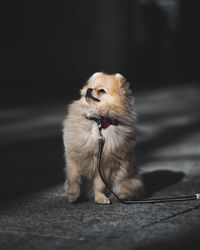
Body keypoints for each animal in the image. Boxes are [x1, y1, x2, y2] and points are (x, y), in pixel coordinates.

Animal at [63, 72, 143, 203]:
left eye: (101, 90)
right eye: (90, 87)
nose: (89, 90)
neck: (98, 120)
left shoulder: (103, 163)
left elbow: (99, 184)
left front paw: (100, 198)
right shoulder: (73, 156)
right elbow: (73, 178)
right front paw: (73, 194)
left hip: (123, 179)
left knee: (127, 188)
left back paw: (124, 196)